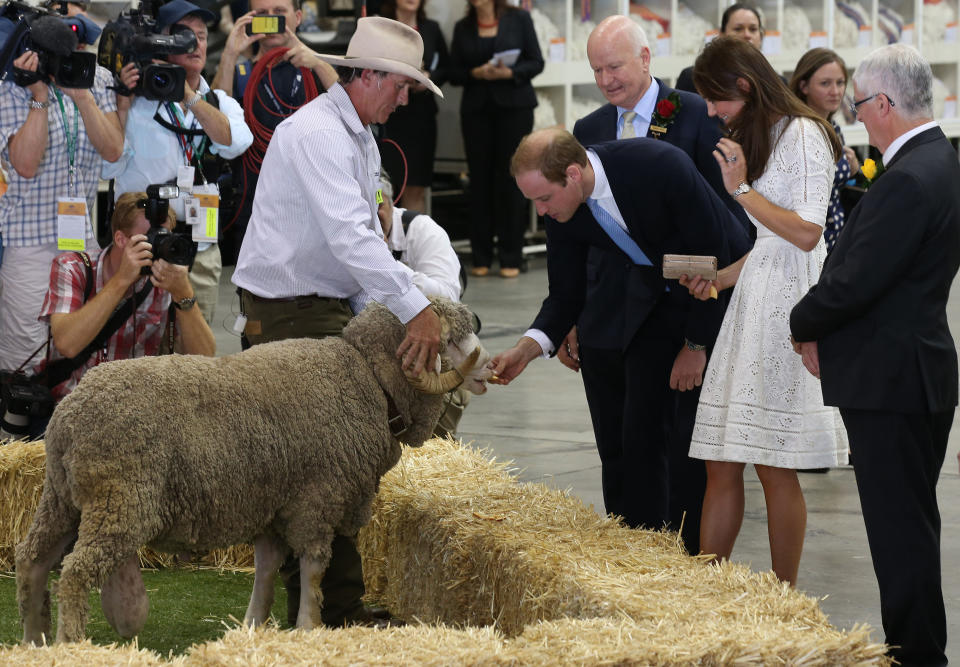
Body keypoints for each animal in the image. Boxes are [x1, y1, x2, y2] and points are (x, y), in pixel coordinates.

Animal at [15, 300, 492, 644]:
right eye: (452, 340)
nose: (489, 366)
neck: (367, 379)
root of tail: (67, 417)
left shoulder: (273, 502)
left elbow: (266, 567)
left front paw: (252, 627)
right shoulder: (317, 498)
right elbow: (314, 566)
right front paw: (308, 626)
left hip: (61, 498)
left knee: (33, 561)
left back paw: (34, 642)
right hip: (120, 500)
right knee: (74, 574)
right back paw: (70, 644)